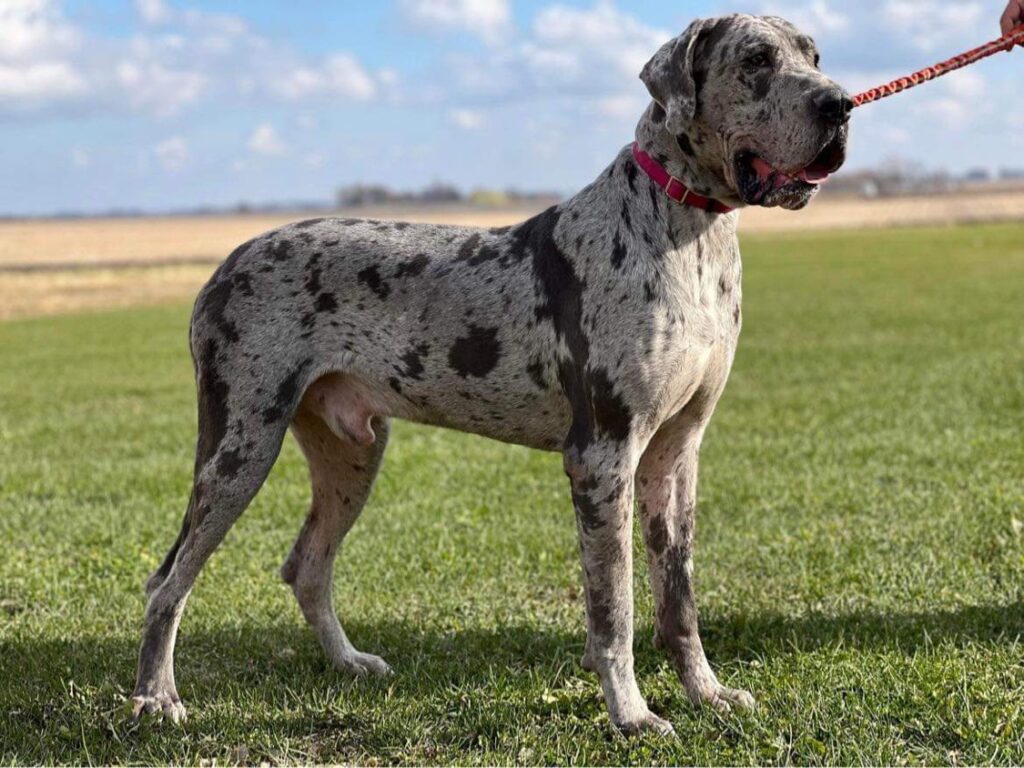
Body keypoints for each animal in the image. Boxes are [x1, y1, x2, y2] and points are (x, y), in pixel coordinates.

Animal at [132, 12, 851, 733]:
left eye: (815, 56)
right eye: (756, 60)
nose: (839, 104)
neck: (686, 228)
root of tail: (224, 264)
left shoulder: (676, 456)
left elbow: (679, 598)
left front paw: (706, 691)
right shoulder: (603, 456)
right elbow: (613, 609)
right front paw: (630, 714)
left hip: (351, 453)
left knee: (306, 566)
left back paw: (348, 662)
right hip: (240, 447)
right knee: (168, 581)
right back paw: (157, 697)